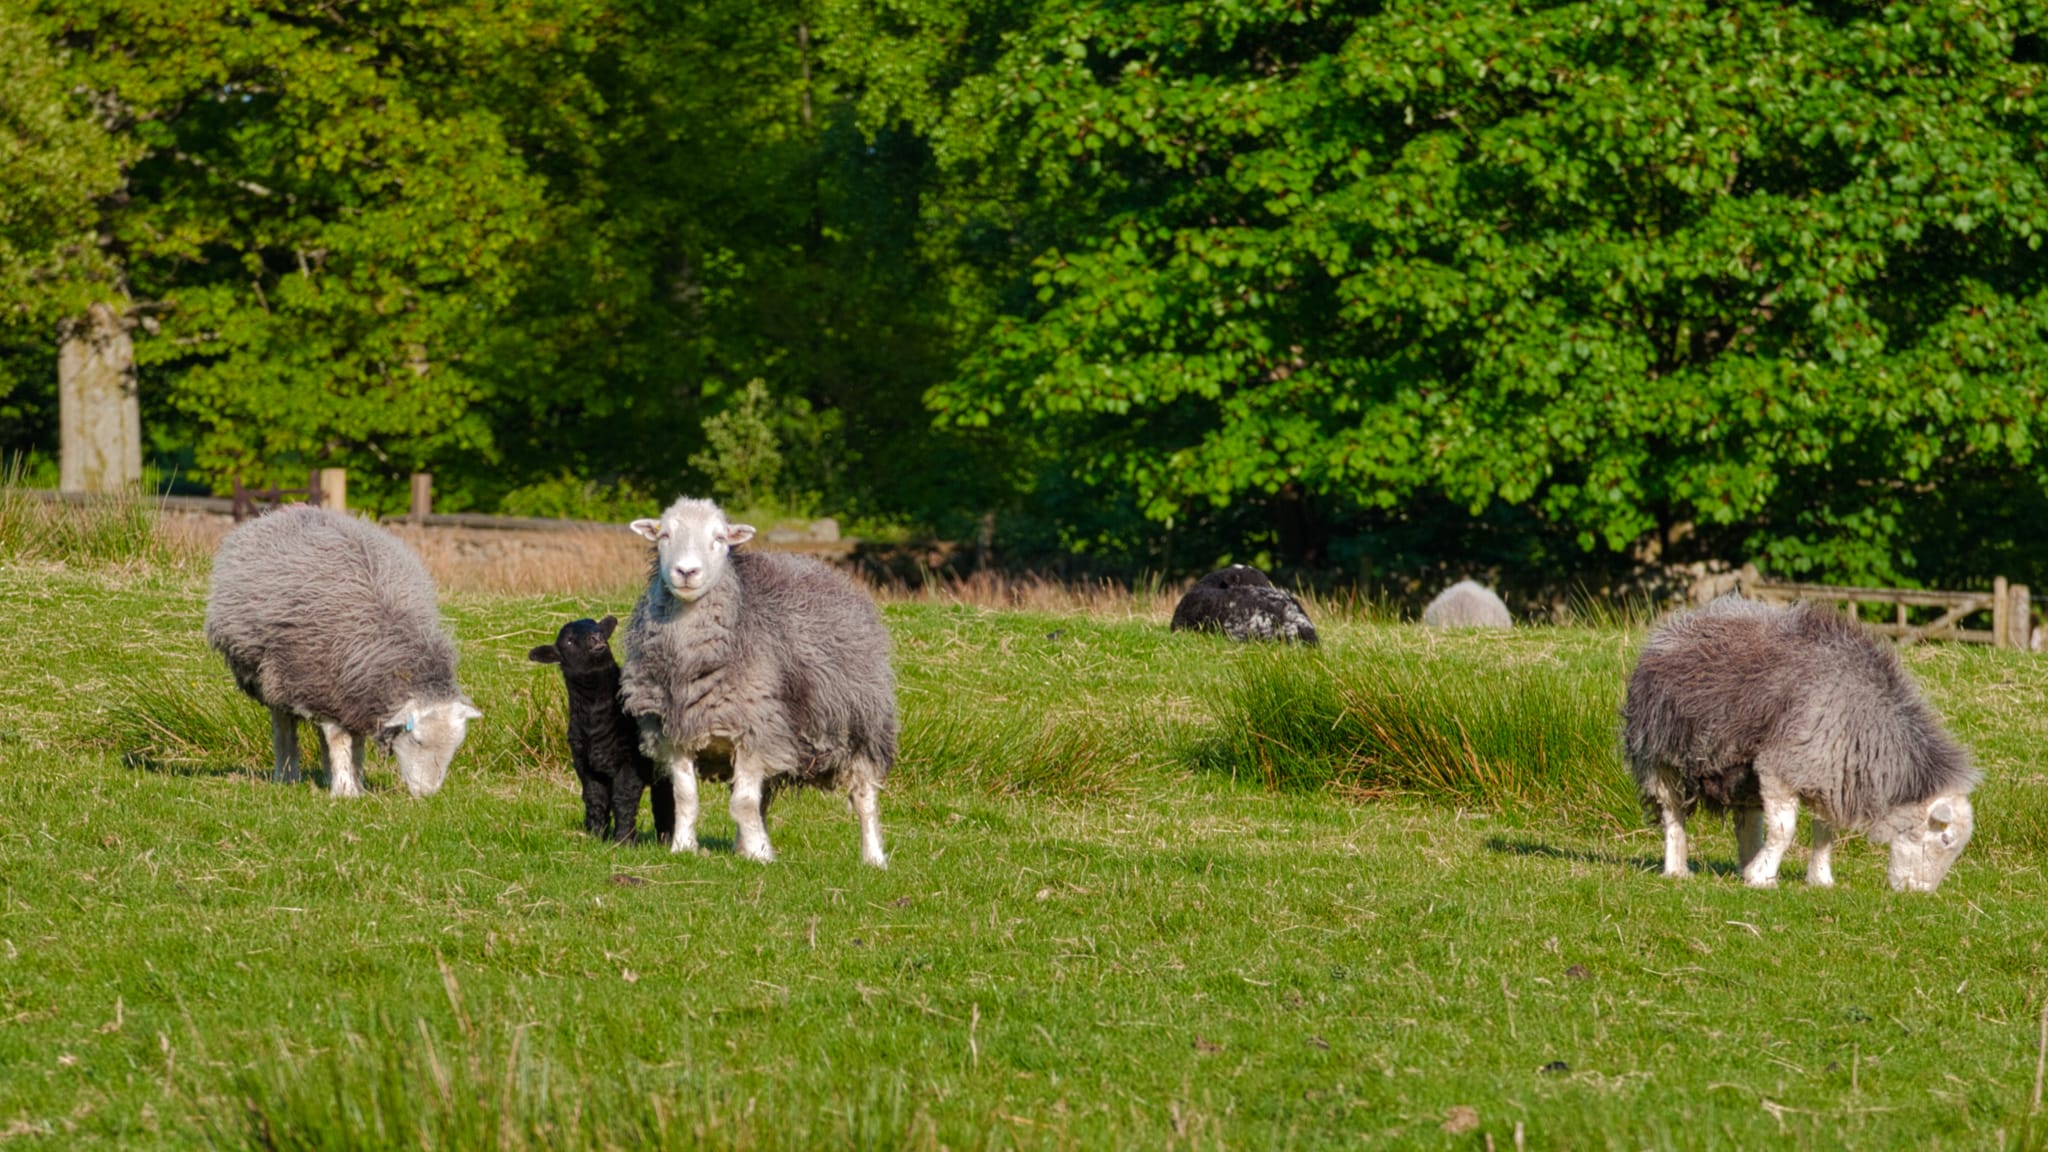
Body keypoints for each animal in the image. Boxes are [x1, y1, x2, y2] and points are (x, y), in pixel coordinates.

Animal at [205, 506, 481, 795]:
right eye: (416, 740)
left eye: (456, 745)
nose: (426, 794)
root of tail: (290, 510)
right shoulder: (322, 687)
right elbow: (338, 739)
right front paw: (346, 791)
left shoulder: (354, 697)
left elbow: (355, 743)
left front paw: (356, 784)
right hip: (275, 675)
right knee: (283, 723)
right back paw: (286, 775)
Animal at [532, 610, 675, 844]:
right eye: (569, 641)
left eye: (598, 629)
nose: (596, 638)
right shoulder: (585, 765)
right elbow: (594, 799)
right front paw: (595, 836)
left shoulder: (630, 762)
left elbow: (623, 800)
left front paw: (623, 841)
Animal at [610, 494, 892, 860]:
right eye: (664, 535)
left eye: (719, 538)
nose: (686, 571)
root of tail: (818, 566)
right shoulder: (675, 732)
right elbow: (687, 797)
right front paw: (684, 847)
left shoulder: (754, 731)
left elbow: (742, 803)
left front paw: (761, 855)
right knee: (763, 797)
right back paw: (743, 846)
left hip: (862, 725)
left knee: (864, 794)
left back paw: (873, 857)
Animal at [1622, 594, 1974, 893]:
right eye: (1944, 839)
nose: (1919, 892)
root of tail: (1684, 618)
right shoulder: (1782, 765)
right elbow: (1784, 829)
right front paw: (1762, 876)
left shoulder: (1829, 772)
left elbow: (1824, 832)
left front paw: (1818, 878)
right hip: (1659, 753)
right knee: (1672, 811)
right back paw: (1677, 868)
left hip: (1741, 773)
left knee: (1748, 820)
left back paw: (1746, 863)